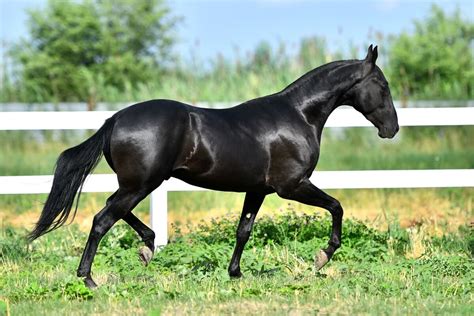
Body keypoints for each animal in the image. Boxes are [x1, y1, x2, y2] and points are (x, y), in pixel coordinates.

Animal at [28, 45, 400, 288]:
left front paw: (235, 273)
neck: (299, 116)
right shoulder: (292, 186)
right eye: (382, 86)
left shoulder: (258, 190)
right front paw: (323, 256)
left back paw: (147, 247)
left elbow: (243, 230)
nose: (392, 129)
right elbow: (337, 206)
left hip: (138, 183)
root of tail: (114, 120)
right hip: (141, 184)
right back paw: (89, 279)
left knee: (113, 211)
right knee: (102, 220)